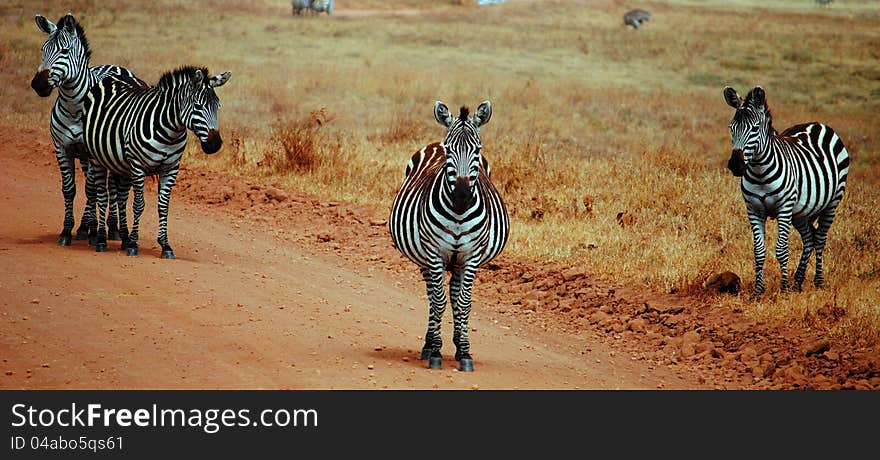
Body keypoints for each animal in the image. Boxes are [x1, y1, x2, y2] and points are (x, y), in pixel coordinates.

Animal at [31, 12, 144, 246]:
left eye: (64, 51)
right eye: (43, 50)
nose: (39, 84)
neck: (74, 107)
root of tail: (116, 66)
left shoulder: (93, 151)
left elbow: (92, 190)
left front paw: (94, 232)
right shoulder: (62, 148)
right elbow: (69, 189)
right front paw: (68, 231)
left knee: (110, 188)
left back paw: (112, 228)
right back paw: (89, 227)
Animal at [82, 65, 232, 258]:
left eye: (217, 106)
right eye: (198, 106)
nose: (215, 144)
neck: (170, 131)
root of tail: (114, 75)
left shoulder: (171, 169)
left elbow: (163, 206)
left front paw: (165, 245)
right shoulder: (138, 166)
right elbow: (138, 205)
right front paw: (134, 244)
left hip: (121, 165)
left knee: (120, 198)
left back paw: (123, 238)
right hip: (96, 158)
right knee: (102, 196)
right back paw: (101, 239)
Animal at [390, 99, 512, 370]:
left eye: (477, 149)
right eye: (449, 150)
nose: (462, 196)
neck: (458, 213)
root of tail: (434, 141)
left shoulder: (471, 256)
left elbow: (464, 303)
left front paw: (465, 354)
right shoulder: (434, 252)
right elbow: (438, 301)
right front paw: (435, 351)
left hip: (458, 262)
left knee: (456, 298)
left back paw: (458, 345)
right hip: (424, 258)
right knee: (433, 297)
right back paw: (428, 345)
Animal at [724, 85, 848, 298]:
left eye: (755, 128)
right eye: (731, 128)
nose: (736, 165)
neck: (760, 173)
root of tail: (817, 124)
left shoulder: (784, 209)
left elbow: (781, 250)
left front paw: (783, 289)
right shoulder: (754, 210)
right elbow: (759, 251)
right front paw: (758, 291)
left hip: (831, 202)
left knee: (820, 239)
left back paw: (818, 281)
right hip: (800, 212)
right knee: (809, 238)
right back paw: (798, 281)